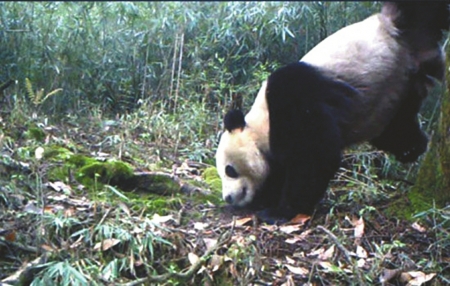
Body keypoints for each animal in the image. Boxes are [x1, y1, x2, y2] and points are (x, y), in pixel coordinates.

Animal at [215, 1, 450, 222]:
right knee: (397, 126)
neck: (261, 124)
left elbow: (315, 156)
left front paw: (278, 211)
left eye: (229, 170)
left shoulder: (292, 100)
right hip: (397, 92)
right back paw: (412, 148)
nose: (228, 197)